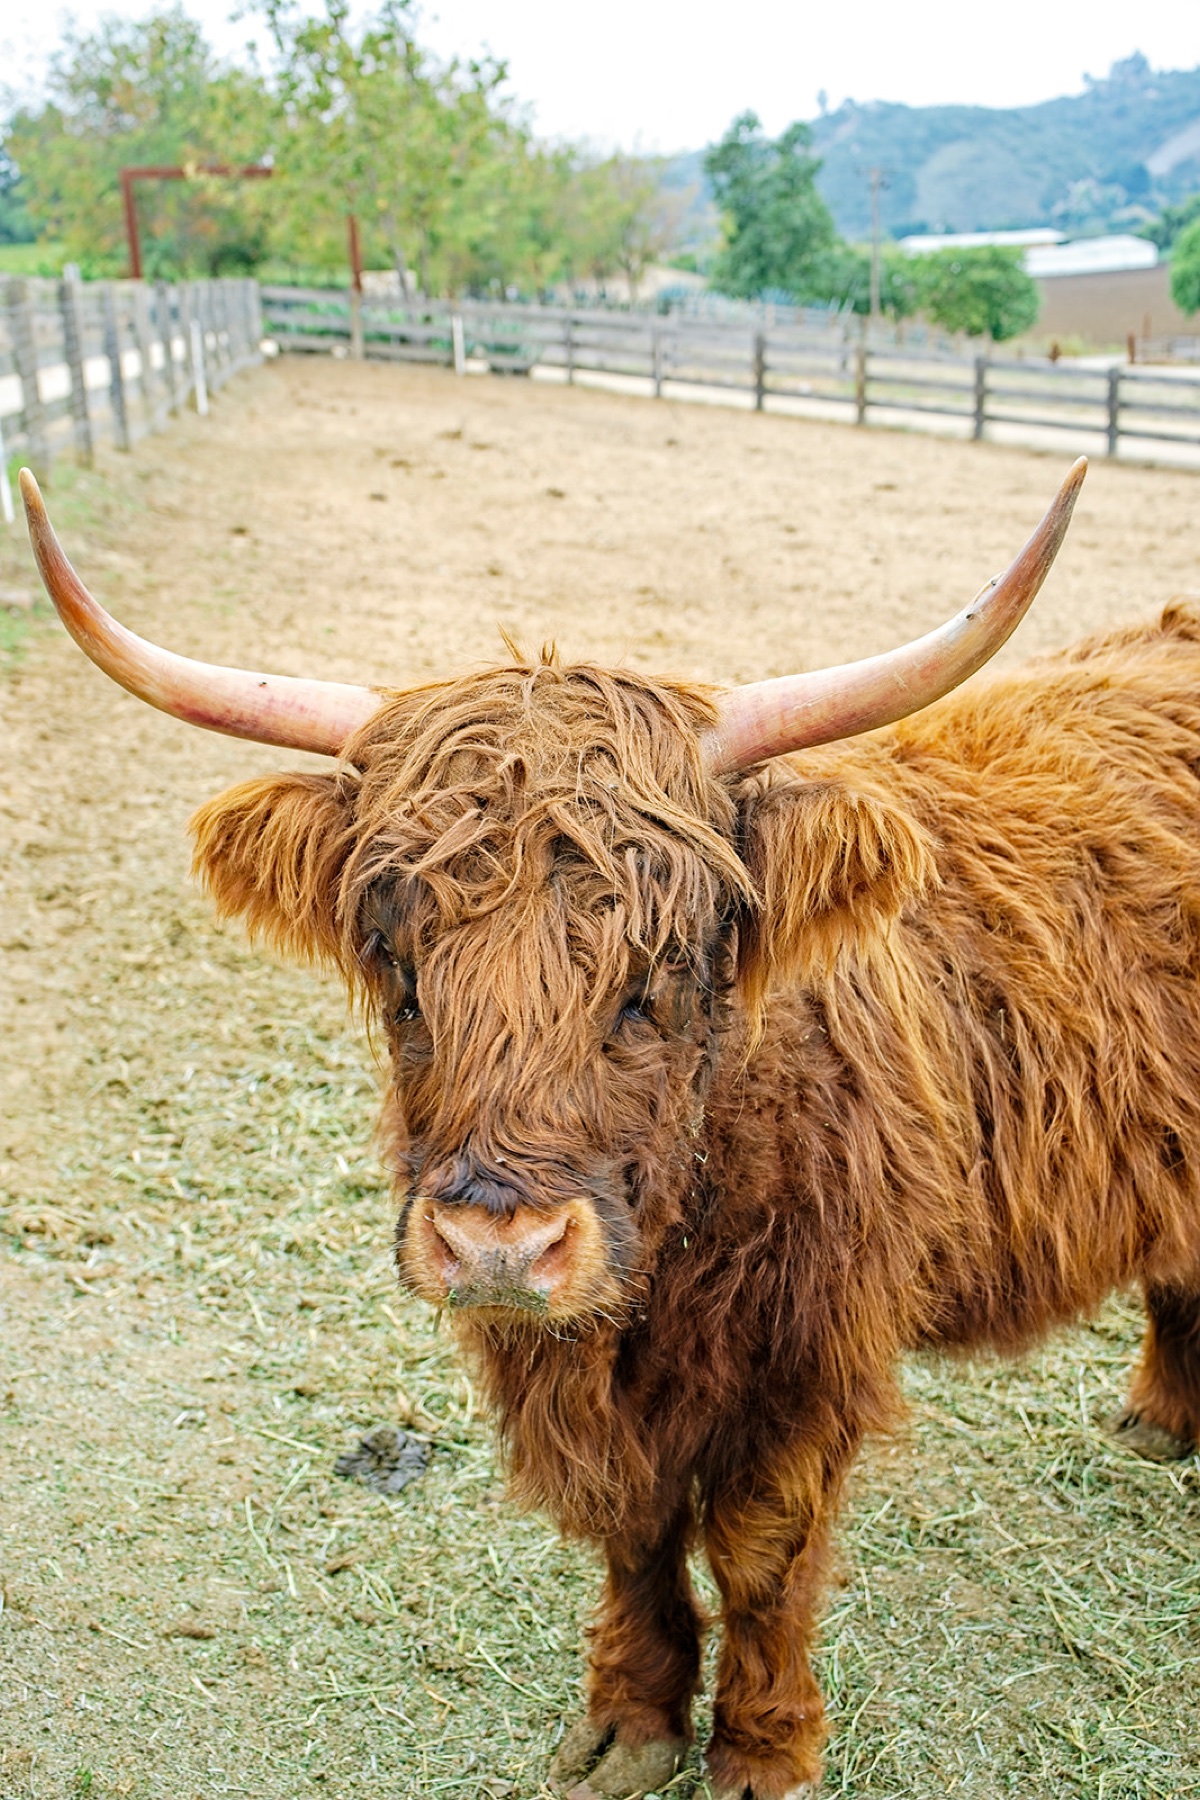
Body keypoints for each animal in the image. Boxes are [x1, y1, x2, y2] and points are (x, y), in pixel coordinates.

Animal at [19, 457, 1200, 1800]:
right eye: (401, 972)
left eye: (657, 975)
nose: (499, 1249)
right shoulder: (565, 1371)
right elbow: (630, 1529)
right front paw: (630, 1726)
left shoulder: (807, 1356)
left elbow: (757, 1550)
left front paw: (762, 1751)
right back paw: (1162, 1421)